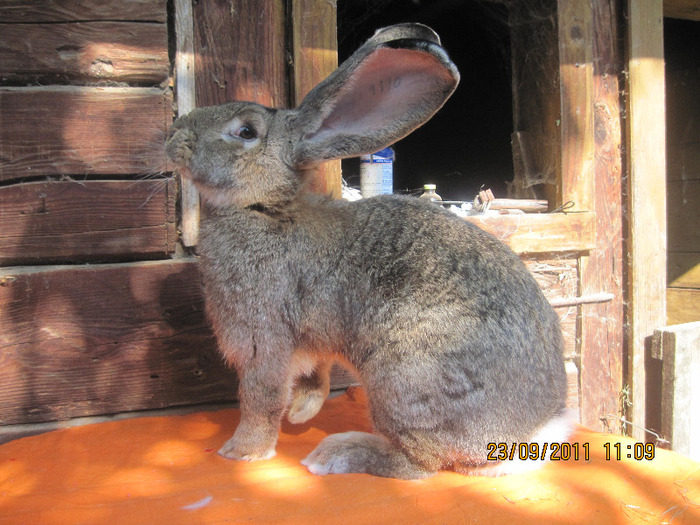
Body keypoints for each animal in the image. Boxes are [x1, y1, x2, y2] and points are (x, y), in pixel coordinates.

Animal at [167, 22, 572, 476]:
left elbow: (261, 398)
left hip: (405, 379)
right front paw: (302, 413)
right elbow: (316, 375)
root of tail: (531, 431)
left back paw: (337, 454)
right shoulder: (312, 343)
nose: (174, 135)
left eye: (246, 132)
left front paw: (242, 451)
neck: (263, 207)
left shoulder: (263, 337)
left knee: (421, 464)